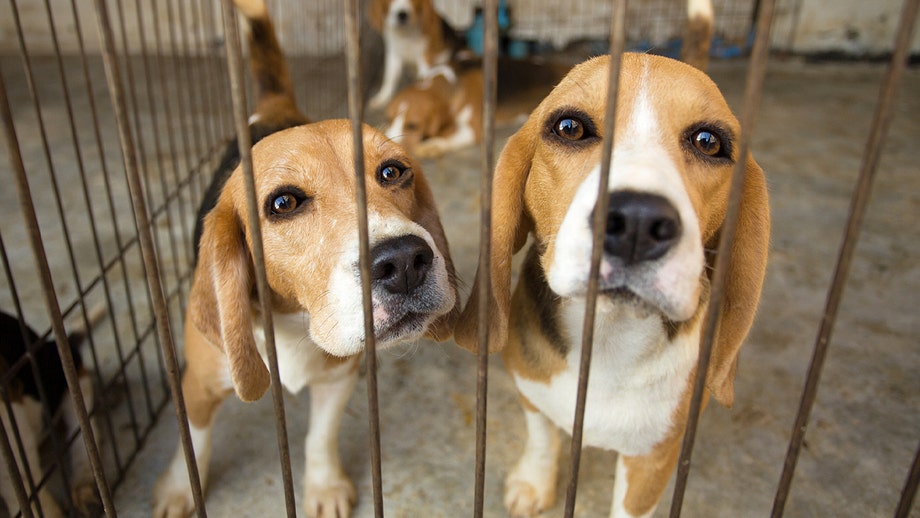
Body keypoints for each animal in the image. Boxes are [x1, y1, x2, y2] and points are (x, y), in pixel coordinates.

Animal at [155, 1, 464, 518]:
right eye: (283, 203)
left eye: (392, 172)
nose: (404, 261)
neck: (294, 321)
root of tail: (274, 108)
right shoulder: (197, 384)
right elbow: (193, 444)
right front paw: (180, 490)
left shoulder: (339, 376)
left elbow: (319, 438)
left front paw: (324, 486)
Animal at [456, 2, 772, 516]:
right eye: (569, 127)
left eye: (709, 142)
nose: (638, 223)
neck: (607, 340)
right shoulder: (531, 389)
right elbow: (542, 438)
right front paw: (535, 483)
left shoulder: (655, 458)